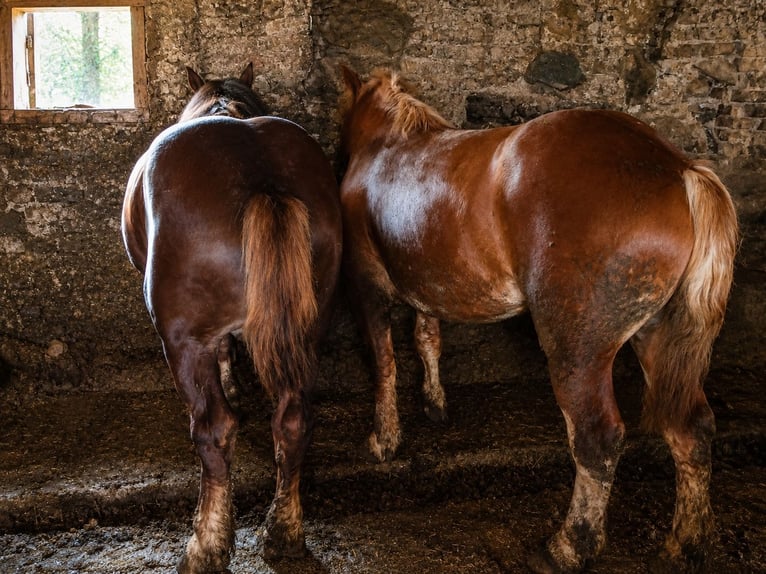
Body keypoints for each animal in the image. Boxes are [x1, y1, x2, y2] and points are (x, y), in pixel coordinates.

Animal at [121, 63, 342, 573]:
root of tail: (261, 178)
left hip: (183, 342)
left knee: (214, 430)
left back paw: (206, 546)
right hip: (310, 328)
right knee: (293, 420)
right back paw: (284, 534)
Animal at [337, 66, 738, 573]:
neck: (388, 146)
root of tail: (677, 169)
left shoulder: (368, 286)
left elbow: (384, 361)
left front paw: (385, 439)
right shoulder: (427, 288)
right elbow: (427, 339)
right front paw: (435, 405)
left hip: (578, 352)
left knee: (598, 440)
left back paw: (568, 546)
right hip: (659, 337)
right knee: (692, 429)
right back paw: (687, 543)